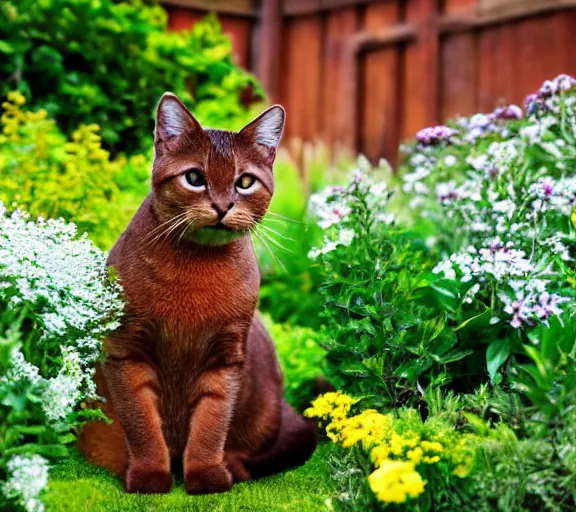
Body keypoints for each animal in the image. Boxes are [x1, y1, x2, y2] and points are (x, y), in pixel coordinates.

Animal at [77, 94, 316, 494]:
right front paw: (150, 477)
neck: (197, 271)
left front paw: (206, 476)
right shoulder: (127, 353)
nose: (222, 206)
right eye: (194, 178)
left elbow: (211, 424)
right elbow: (142, 424)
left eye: (245, 182)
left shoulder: (225, 360)